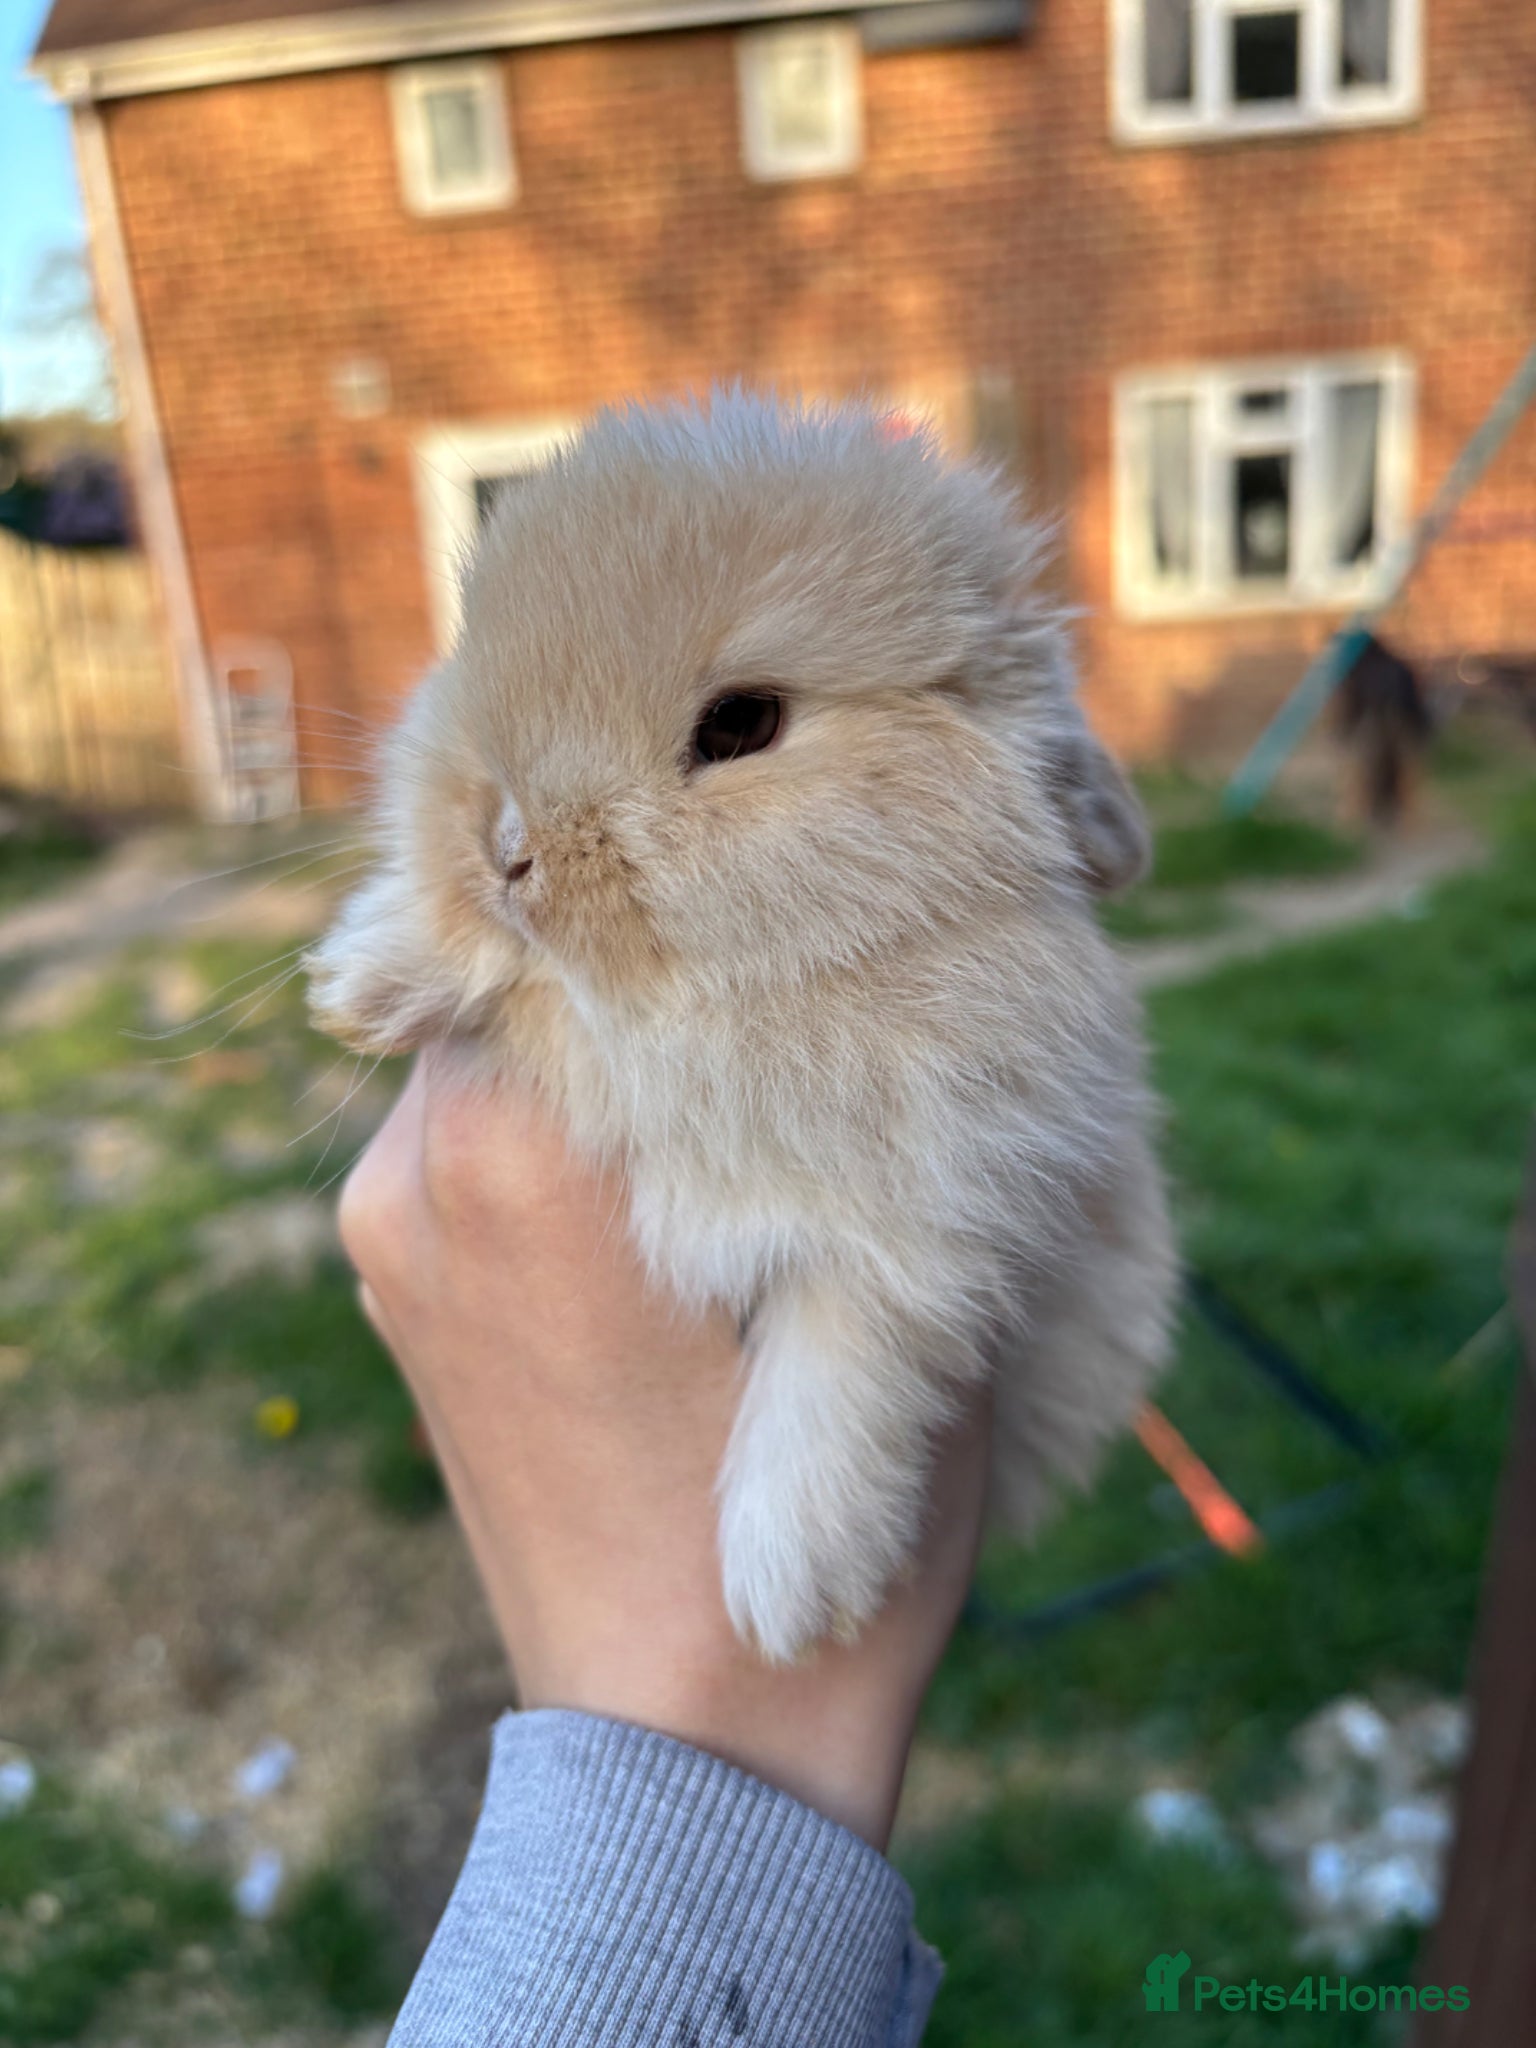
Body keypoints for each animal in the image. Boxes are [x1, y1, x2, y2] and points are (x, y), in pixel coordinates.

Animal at [306, 389, 1178, 1664]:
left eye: (741, 723)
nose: (507, 848)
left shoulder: (939, 1216)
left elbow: (845, 1366)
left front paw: (793, 1592)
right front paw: (363, 980)